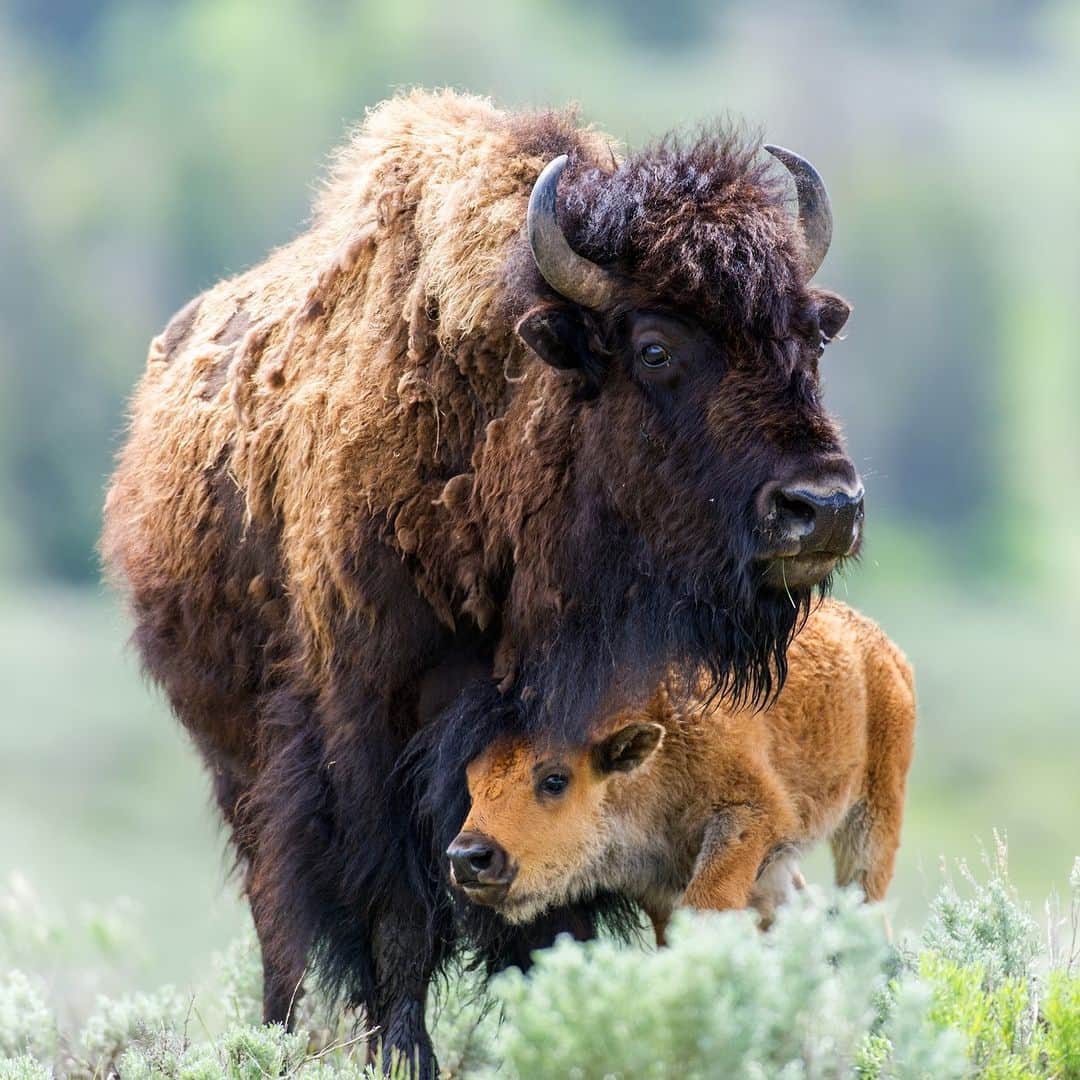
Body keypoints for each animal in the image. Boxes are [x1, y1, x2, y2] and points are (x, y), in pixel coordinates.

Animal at [102, 89, 862, 1074]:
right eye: (655, 348)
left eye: (810, 336)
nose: (825, 506)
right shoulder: (374, 735)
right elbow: (398, 919)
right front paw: (404, 1054)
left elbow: (557, 888)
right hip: (241, 766)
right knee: (279, 916)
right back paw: (274, 1034)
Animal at [449, 600, 914, 939]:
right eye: (472, 782)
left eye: (554, 780)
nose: (468, 857)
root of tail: (885, 652)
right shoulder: (655, 883)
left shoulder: (752, 814)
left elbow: (707, 908)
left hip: (872, 817)